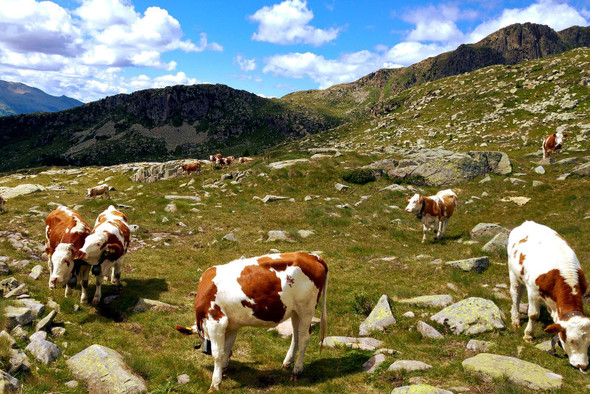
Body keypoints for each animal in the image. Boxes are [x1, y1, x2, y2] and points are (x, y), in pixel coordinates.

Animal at [178, 252, 330, 390]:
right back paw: (287, 363)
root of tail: (311, 256)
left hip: (306, 308)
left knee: (304, 337)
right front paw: (224, 369)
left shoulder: (216, 321)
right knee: (296, 335)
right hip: (295, 311)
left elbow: (218, 353)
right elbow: (227, 348)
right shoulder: (232, 324)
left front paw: (215, 384)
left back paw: (297, 371)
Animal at [508, 222, 590, 372]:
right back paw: (515, 319)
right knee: (516, 294)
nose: (583, 366)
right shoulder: (533, 291)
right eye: (571, 340)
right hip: (513, 272)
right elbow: (533, 314)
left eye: (589, 342)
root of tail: (527, 222)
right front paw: (528, 335)